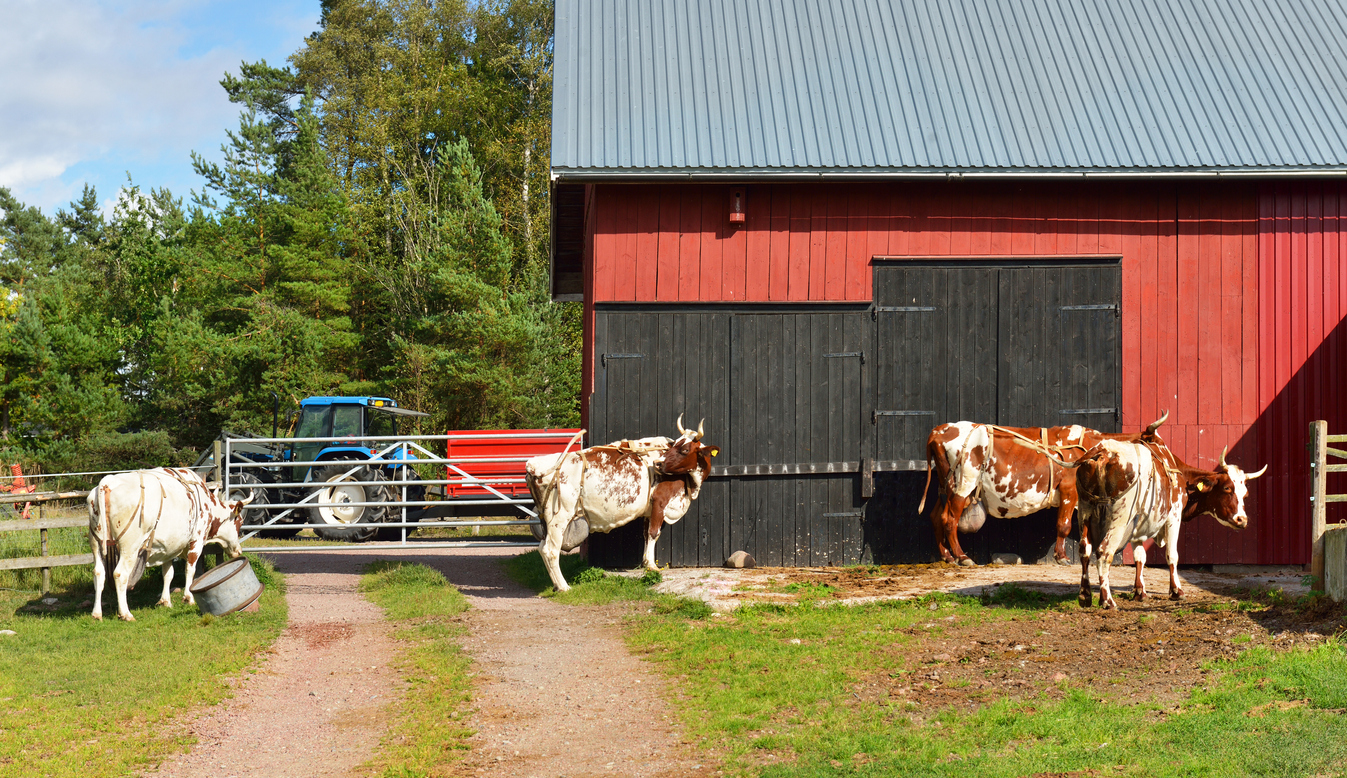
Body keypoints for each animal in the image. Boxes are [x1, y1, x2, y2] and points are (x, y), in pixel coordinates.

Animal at [86, 465, 253, 619]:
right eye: (239, 522)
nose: (239, 551)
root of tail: (107, 482)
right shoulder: (197, 541)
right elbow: (190, 570)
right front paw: (188, 597)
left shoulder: (167, 548)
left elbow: (168, 573)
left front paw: (165, 601)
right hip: (129, 547)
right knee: (120, 574)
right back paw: (125, 613)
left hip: (97, 544)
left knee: (99, 573)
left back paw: (96, 613)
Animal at [522, 411, 721, 586]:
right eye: (675, 446)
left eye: (685, 449)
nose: (658, 464)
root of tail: (535, 465)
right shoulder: (660, 502)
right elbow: (653, 533)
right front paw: (652, 566)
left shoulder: (649, 510)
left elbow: (646, 534)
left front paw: (645, 562)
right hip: (559, 516)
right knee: (550, 550)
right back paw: (564, 587)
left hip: (546, 519)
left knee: (542, 547)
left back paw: (557, 585)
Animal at [915, 411, 1169, 562]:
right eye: (1158, 443)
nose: (1171, 461)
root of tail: (939, 429)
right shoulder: (1069, 491)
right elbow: (1064, 526)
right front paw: (1062, 556)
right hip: (963, 484)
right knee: (949, 519)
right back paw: (961, 557)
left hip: (945, 486)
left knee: (936, 516)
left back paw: (947, 556)